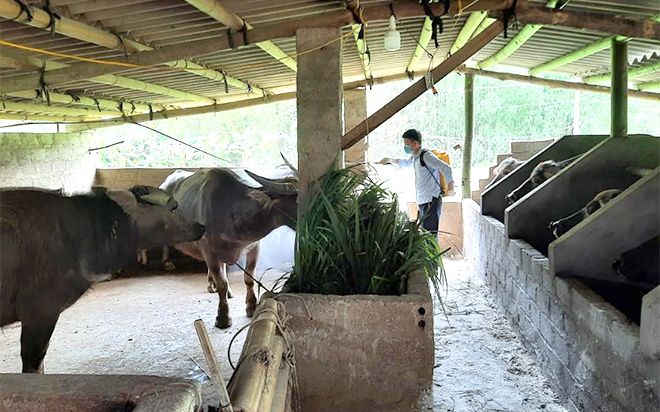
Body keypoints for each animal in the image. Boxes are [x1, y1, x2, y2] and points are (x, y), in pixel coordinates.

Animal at [159, 167, 296, 328]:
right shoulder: (209, 250)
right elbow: (222, 283)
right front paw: (223, 317)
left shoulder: (254, 247)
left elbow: (249, 278)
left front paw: (251, 306)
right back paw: (167, 262)